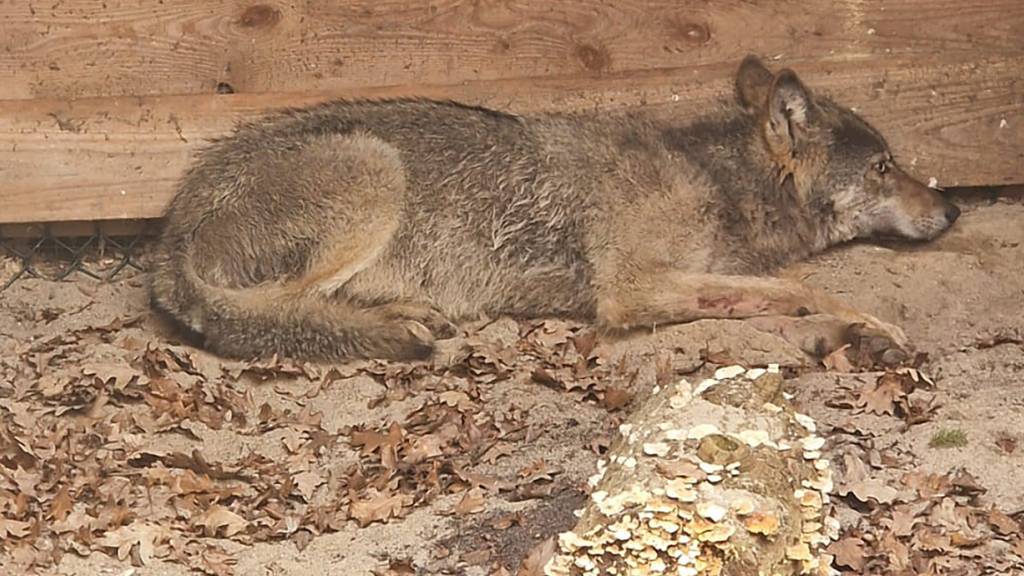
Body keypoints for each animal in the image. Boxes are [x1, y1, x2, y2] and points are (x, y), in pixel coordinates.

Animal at [149, 55, 960, 363]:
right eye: (885, 167)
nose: (952, 209)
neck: (713, 178)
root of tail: (170, 231)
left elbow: (767, 298)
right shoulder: (630, 290)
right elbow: (802, 287)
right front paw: (871, 326)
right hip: (375, 170)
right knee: (269, 315)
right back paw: (395, 325)